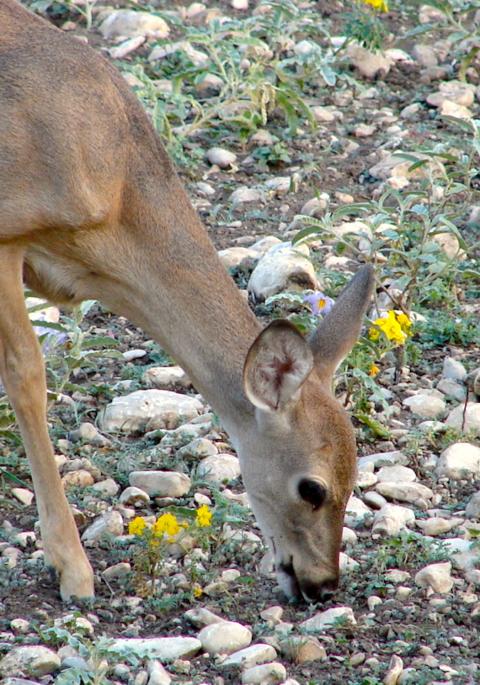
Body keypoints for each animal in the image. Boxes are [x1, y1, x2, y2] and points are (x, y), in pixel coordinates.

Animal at [0, 0, 374, 604]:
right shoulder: (6, 235)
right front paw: (72, 569)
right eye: (312, 488)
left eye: (354, 474)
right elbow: (27, 376)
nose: (323, 584)